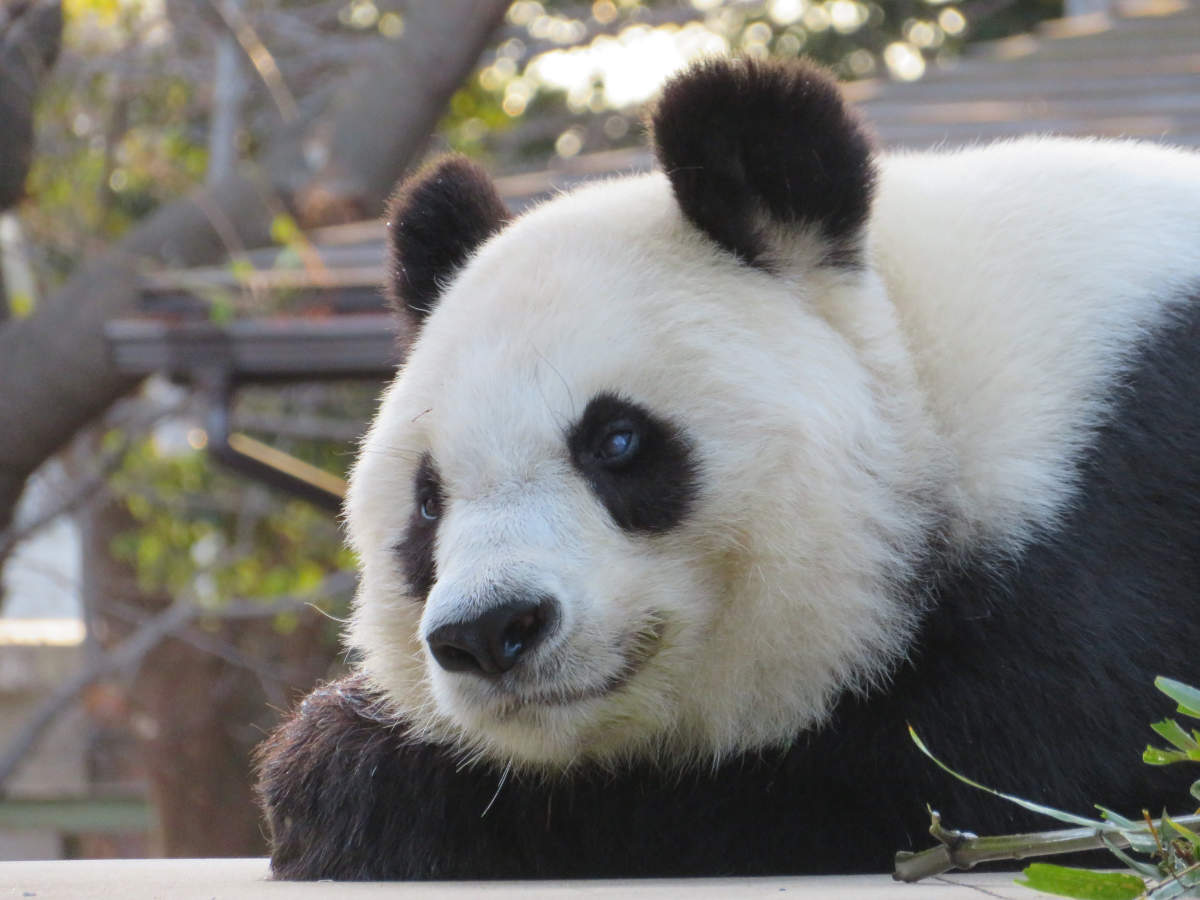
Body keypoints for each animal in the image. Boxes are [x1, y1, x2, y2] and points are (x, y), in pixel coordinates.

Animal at [255, 56, 1200, 883]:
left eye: (617, 442)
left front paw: (347, 777)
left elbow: (997, 771)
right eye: (427, 502)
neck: (922, 358)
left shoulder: (1120, 489)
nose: (491, 631)